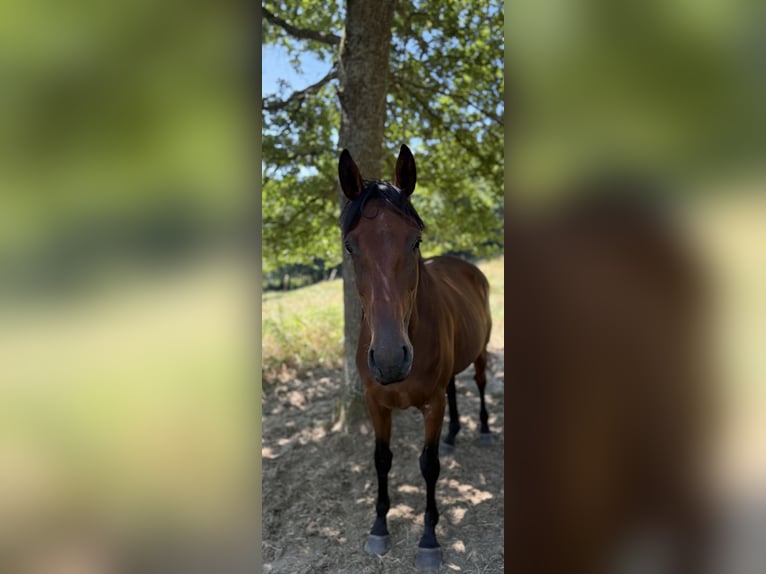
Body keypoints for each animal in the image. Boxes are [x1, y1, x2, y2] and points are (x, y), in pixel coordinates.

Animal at [338, 144, 493, 570]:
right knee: (455, 388)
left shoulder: (431, 404)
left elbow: (428, 465)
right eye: (350, 246)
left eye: (415, 241)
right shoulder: (376, 404)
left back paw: (484, 430)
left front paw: (428, 539)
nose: (391, 359)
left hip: (482, 350)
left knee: (478, 382)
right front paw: (378, 528)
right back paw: (454, 435)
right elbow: (381, 459)